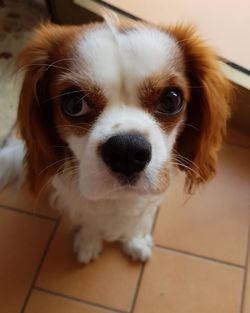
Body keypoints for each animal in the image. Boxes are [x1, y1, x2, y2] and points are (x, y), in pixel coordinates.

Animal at [0, 20, 230, 264]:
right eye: (74, 103)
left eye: (171, 99)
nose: (127, 150)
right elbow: (89, 216)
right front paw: (89, 241)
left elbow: (141, 216)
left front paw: (136, 241)